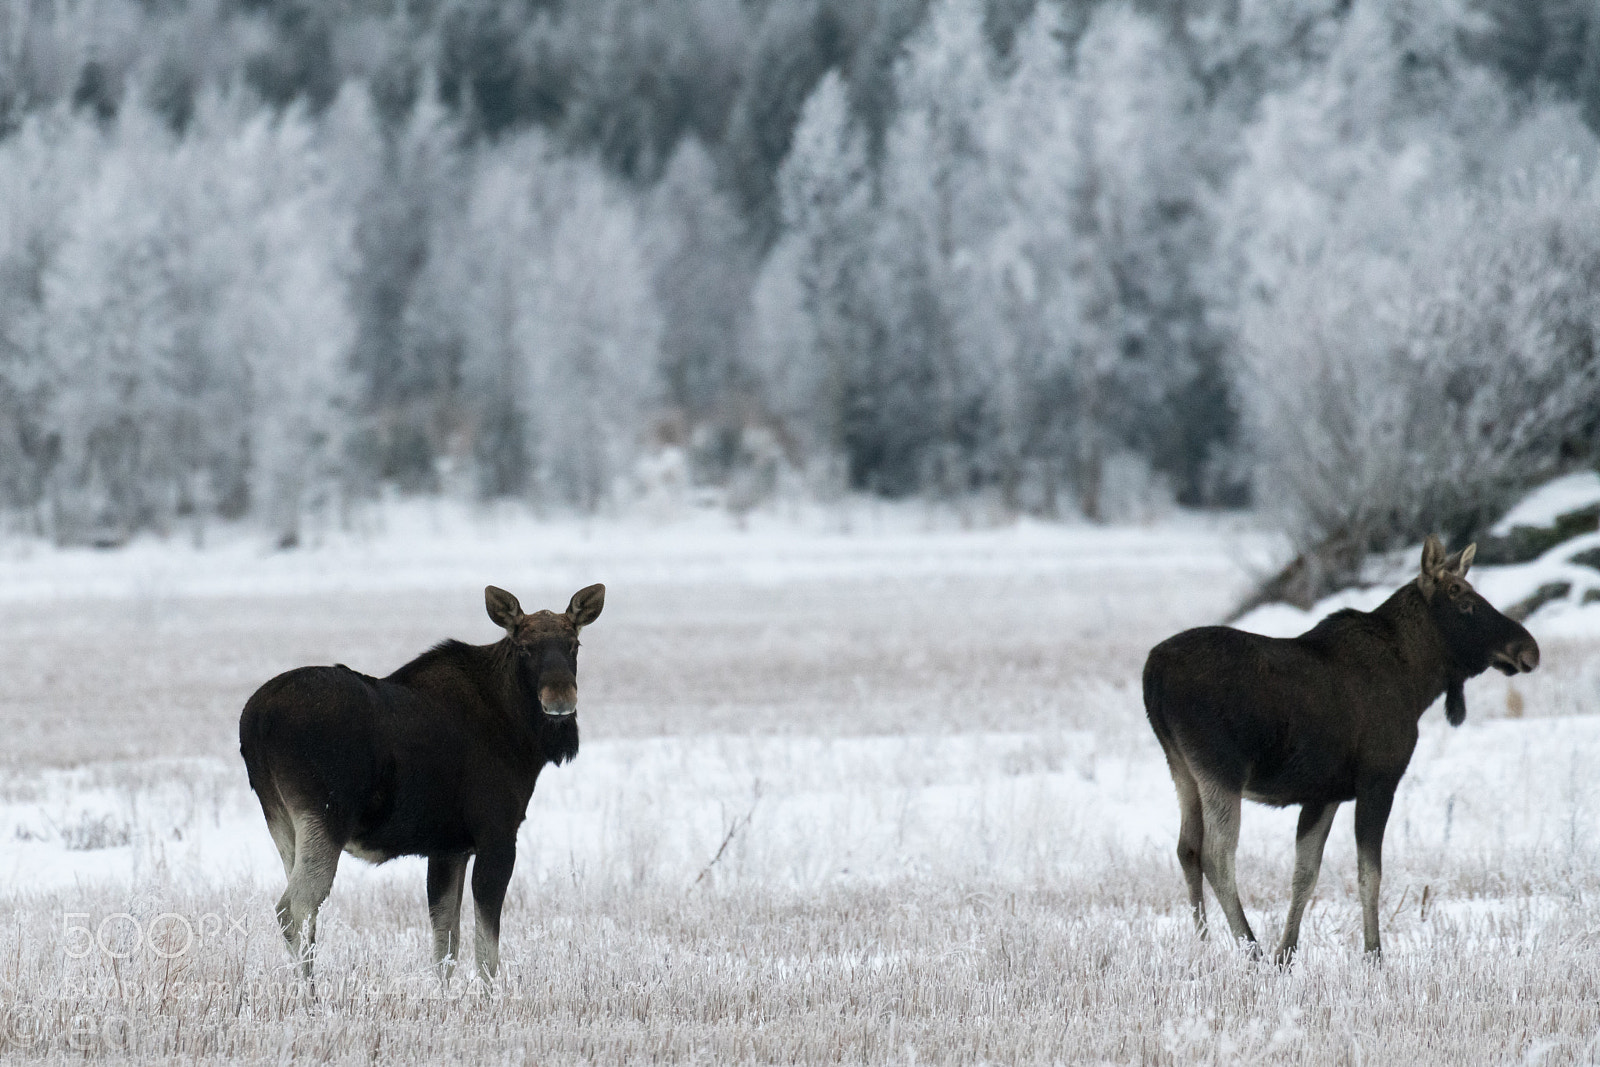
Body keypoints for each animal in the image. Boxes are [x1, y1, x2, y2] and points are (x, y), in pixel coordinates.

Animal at [239, 583, 605, 985]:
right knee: (294, 909)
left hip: (282, 821)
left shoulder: (448, 847)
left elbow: (446, 945)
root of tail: (254, 721)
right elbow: (486, 952)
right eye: (524, 647)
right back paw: (309, 994)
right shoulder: (497, 834)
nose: (560, 699)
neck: (520, 733)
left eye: (573, 644)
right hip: (324, 818)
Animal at [1143, 536, 1538, 962]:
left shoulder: (1325, 793)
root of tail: (1152, 673)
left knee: (1187, 849)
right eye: (1462, 598)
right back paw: (1250, 950)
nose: (1529, 649)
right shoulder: (1378, 780)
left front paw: (1286, 954)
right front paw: (1374, 955)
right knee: (1217, 855)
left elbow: (1305, 873)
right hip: (1221, 768)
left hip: (1181, 766)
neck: (1418, 682)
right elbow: (1370, 873)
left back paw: (1203, 946)